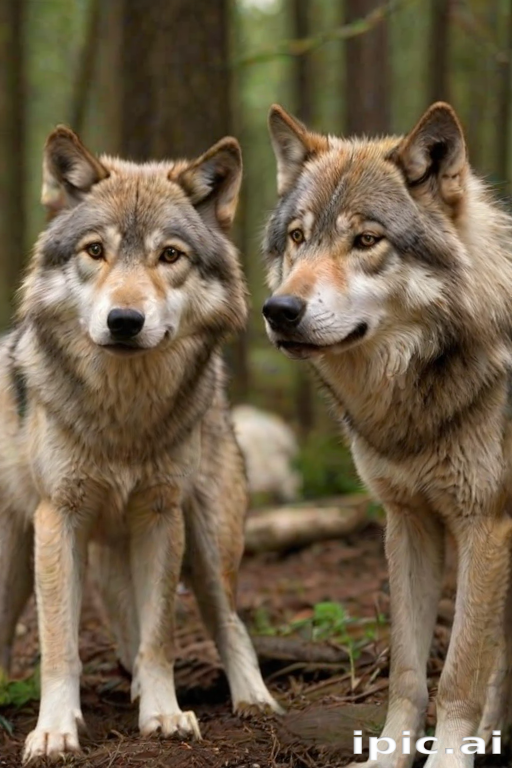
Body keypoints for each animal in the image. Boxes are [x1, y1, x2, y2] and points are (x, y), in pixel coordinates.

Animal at [0, 127, 280, 763]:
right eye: (95, 251)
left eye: (170, 255)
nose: (124, 320)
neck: (123, 421)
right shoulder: (60, 519)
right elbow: (60, 643)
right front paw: (54, 731)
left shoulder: (160, 515)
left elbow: (161, 636)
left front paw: (165, 715)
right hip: (18, 554)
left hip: (208, 540)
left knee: (228, 620)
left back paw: (253, 700)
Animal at [262, 101, 512, 768]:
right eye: (298, 237)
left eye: (367, 240)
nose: (279, 311)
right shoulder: (406, 521)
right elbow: (406, 670)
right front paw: (388, 756)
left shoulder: (487, 527)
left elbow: (459, 676)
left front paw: (451, 758)